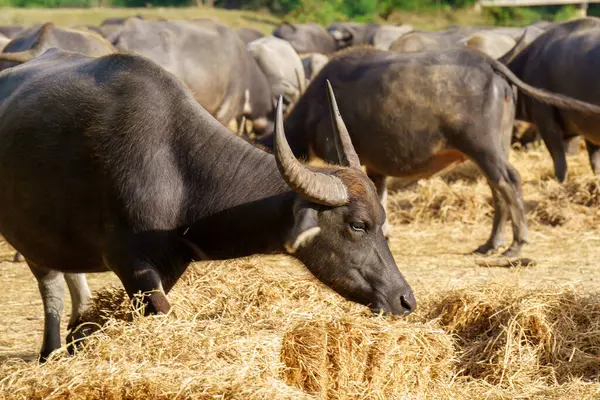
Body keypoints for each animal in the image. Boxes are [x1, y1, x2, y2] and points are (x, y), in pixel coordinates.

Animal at [0, 48, 412, 360]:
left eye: (382, 221)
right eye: (358, 224)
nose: (404, 299)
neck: (179, 171)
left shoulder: (167, 268)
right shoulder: (131, 265)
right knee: (50, 283)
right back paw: (50, 349)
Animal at [262, 47, 600, 256]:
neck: (314, 107)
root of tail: (487, 62)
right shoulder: (375, 169)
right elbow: (379, 194)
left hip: (483, 147)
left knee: (509, 182)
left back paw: (517, 243)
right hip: (495, 148)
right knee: (497, 188)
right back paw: (491, 242)